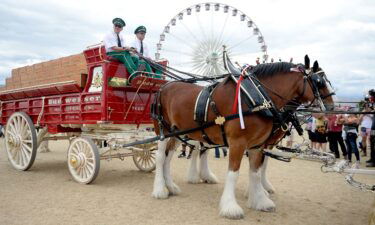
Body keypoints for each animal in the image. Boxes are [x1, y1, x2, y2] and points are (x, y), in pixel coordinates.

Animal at [152, 55, 334, 219]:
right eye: (319, 82)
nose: (331, 108)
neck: (257, 98)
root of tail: (164, 87)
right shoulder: (238, 143)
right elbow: (234, 172)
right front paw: (230, 207)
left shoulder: (258, 144)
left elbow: (256, 171)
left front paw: (260, 199)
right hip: (163, 131)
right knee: (161, 157)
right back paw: (160, 189)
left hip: (178, 133)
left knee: (170, 157)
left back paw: (172, 186)